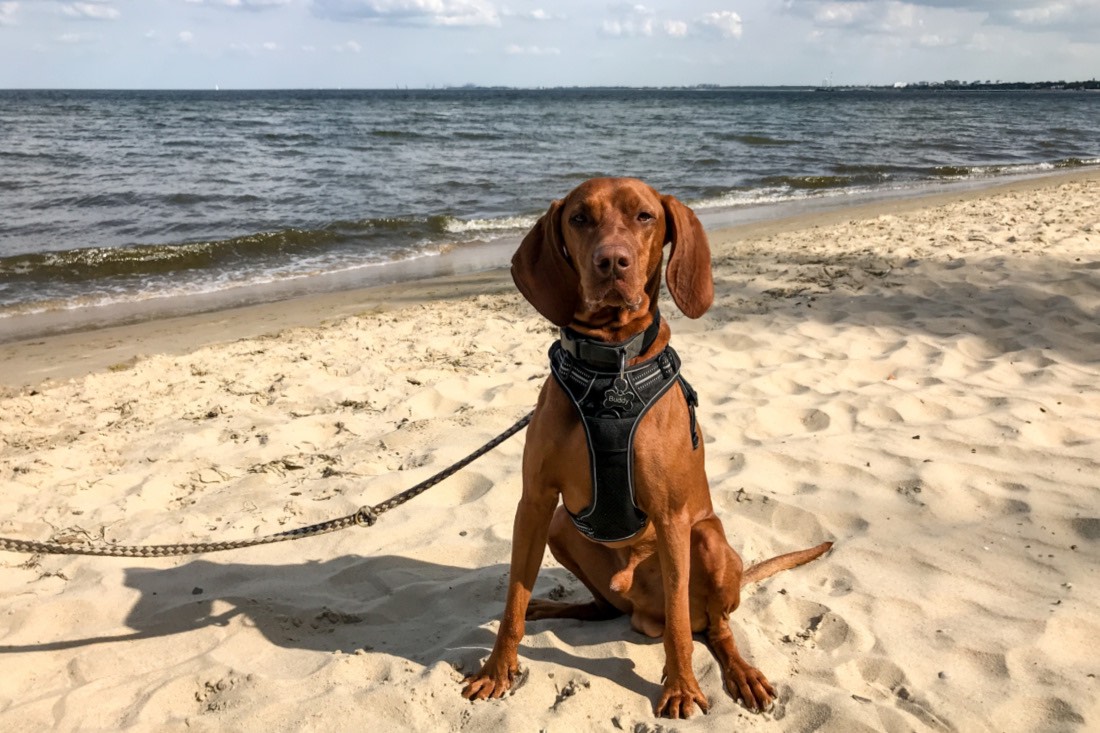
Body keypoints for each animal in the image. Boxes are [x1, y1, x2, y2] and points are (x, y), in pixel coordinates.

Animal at [459, 178, 827, 717]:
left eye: (645, 216)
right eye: (580, 218)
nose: (612, 262)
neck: (610, 367)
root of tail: (639, 610)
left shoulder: (672, 516)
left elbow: (679, 627)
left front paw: (681, 688)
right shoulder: (535, 503)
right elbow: (513, 602)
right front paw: (497, 669)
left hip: (708, 539)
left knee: (711, 627)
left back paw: (740, 671)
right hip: (562, 528)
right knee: (604, 607)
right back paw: (554, 606)